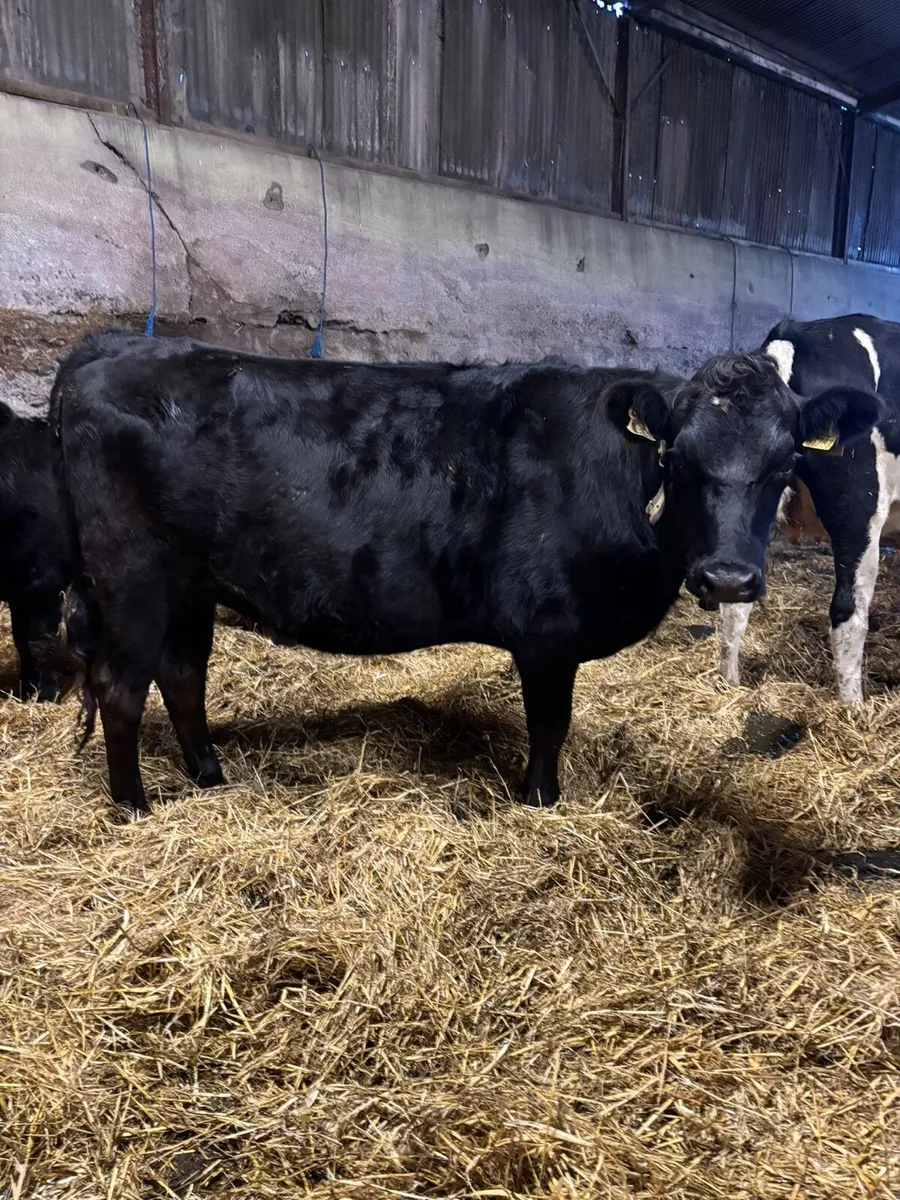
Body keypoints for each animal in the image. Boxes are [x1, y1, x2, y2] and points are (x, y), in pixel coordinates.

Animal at [48, 328, 878, 817]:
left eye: (786, 465)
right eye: (678, 458)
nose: (729, 580)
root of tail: (108, 349)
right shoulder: (547, 632)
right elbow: (549, 724)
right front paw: (540, 800)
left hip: (189, 587)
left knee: (183, 675)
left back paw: (210, 775)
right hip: (132, 580)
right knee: (122, 687)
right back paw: (134, 805)